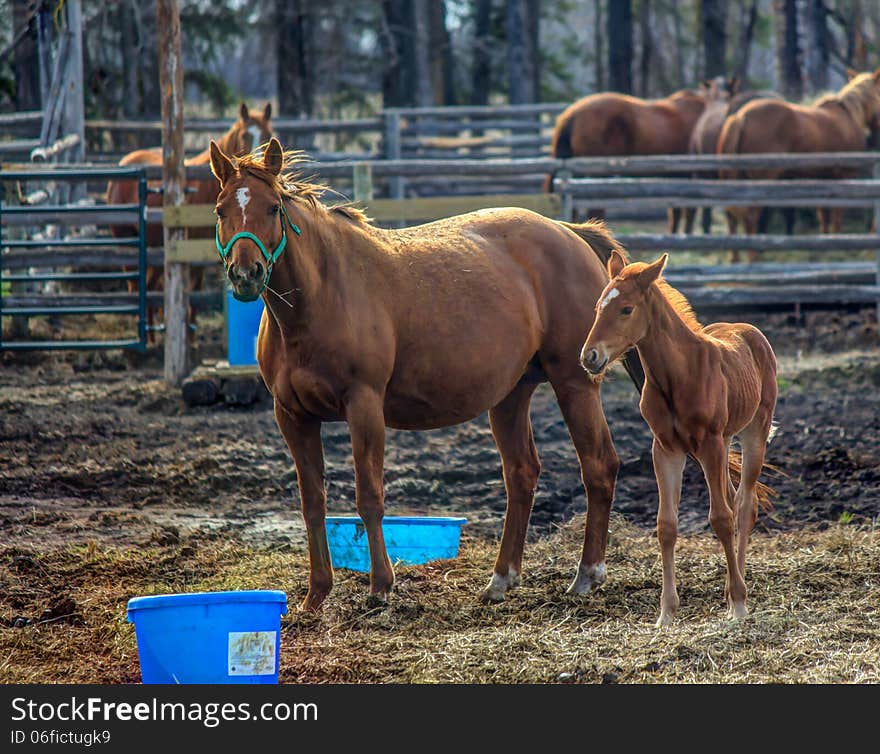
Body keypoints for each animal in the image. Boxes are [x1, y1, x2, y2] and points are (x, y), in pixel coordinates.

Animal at [105, 100, 272, 340]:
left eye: (268, 134)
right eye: (244, 136)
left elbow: (195, 290)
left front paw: (190, 333)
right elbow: (191, 290)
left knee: (152, 286)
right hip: (126, 241)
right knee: (135, 285)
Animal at [210, 138, 644, 612]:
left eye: (272, 208)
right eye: (220, 209)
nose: (245, 274)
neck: (322, 295)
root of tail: (570, 232)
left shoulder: (364, 407)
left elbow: (369, 497)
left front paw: (381, 586)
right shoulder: (292, 416)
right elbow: (312, 503)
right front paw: (316, 593)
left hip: (574, 383)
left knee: (599, 466)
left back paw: (587, 574)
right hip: (510, 395)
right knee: (521, 475)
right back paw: (501, 579)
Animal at [584, 251, 776, 624]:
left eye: (626, 309)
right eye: (598, 306)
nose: (589, 357)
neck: (678, 374)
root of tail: (749, 330)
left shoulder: (711, 443)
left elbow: (721, 518)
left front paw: (739, 605)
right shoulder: (665, 449)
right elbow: (666, 525)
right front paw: (666, 613)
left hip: (753, 432)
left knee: (744, 505)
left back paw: (738, 594)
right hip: (722, 443)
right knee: (734, 499)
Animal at [720, 67, 880, 253]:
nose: (874, 136)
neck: (848, 116)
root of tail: (741, 116)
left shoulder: (824, 179)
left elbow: (823, 214)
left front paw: (825, 240)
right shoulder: (844, 177)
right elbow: (836, 214)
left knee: (732, 216)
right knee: (751, 215)